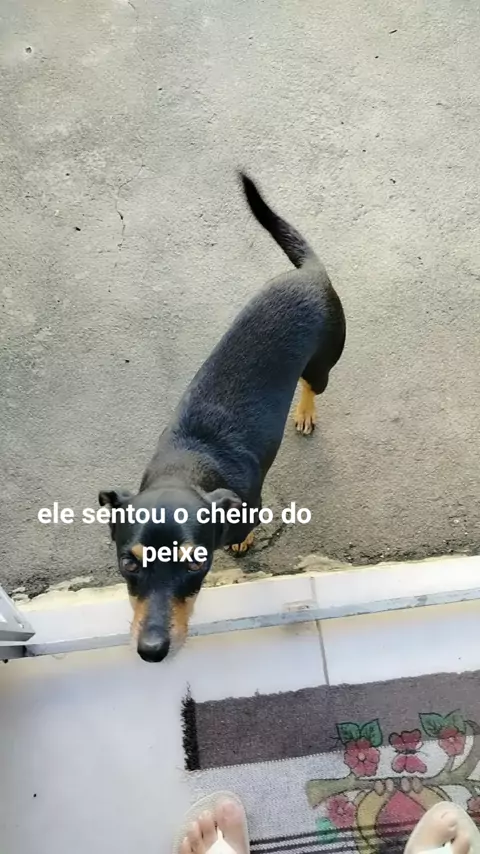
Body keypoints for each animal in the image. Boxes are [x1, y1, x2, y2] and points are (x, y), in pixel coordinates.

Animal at [99, 173, 346, 662]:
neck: (189, 466)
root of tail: (310, 271)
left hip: (324, 362)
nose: (152, 651)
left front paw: (241, 540)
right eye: (127, 562)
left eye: (198, 562)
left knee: (312, 384)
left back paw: (305, 411)